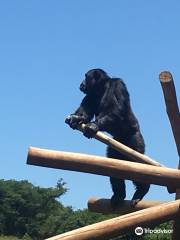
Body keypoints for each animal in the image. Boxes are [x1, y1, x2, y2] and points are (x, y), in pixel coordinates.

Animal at [65, 68, 150, 208]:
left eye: (86, 76)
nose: (82, 82)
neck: (102, 89)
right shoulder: (89, 96)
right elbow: (85, 113)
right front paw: (75, 118)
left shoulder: (118, 84)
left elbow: (116, 109)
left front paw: (93, 126)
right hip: (115, 146)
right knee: (113, 164)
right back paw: (119, 195)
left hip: (135, 140)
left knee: (138, 164)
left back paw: (141, 191)